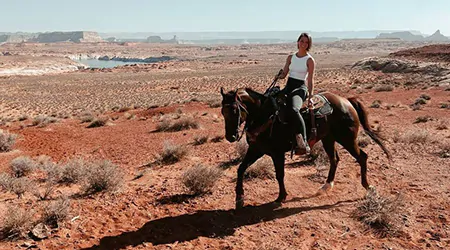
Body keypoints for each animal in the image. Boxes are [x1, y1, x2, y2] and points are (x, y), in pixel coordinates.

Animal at [221, 86, 390, 209]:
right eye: (223, 112)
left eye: (235, 110)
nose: (231, 137)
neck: (265, 115)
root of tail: (346, 101)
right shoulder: (256, 150)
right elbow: (241, 169)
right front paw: (239, 198)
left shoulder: (277, 153)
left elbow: (279, 175)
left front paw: (281, 197)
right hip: (329, 139)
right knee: (334, 159)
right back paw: (326, 186)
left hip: (347, 139)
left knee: (362, 157)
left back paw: (367, 186)